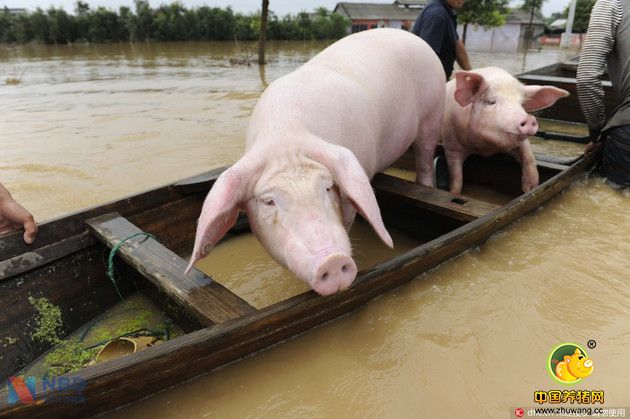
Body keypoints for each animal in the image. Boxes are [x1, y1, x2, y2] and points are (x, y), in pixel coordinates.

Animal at [185, 28, 446, 296]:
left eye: (329, 187)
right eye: (268, 201)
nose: (332, 260)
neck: (285, 134)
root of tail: (413, 36)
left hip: (433, 111)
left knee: (426, 158)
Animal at [442, 67, 572, 195]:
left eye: (521, 104)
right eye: (491, 101)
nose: (529, 119)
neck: (484, 149)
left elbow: (529, 158)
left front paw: (530, 188)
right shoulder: (452, 147)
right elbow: (456, 178)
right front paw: (454, 193)